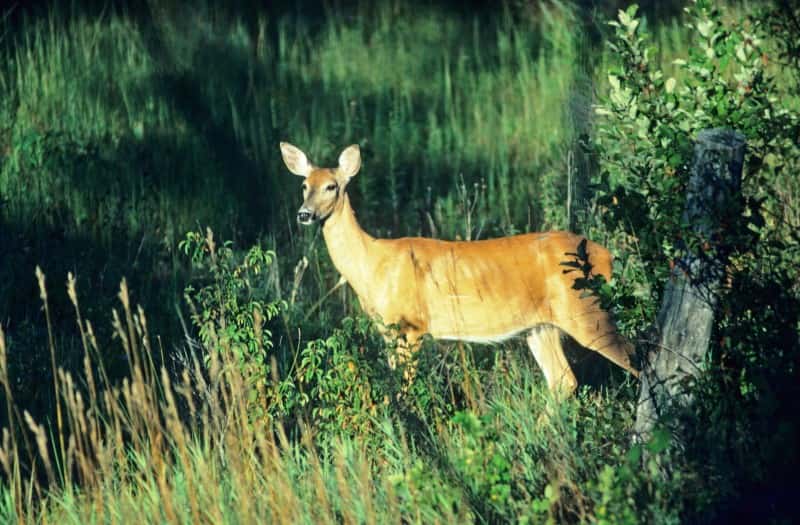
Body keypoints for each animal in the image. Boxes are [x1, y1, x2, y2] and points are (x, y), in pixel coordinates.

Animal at [280, 142, 639, 396]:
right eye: (304, 185)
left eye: (331, 186)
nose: (304, 214)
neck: (373, 265)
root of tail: (607, 255)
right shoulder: (387, 330)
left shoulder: (412, 325)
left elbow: (404, 391)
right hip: (541, 326)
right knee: (564, 381)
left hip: (585, 309)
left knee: (636, 358)